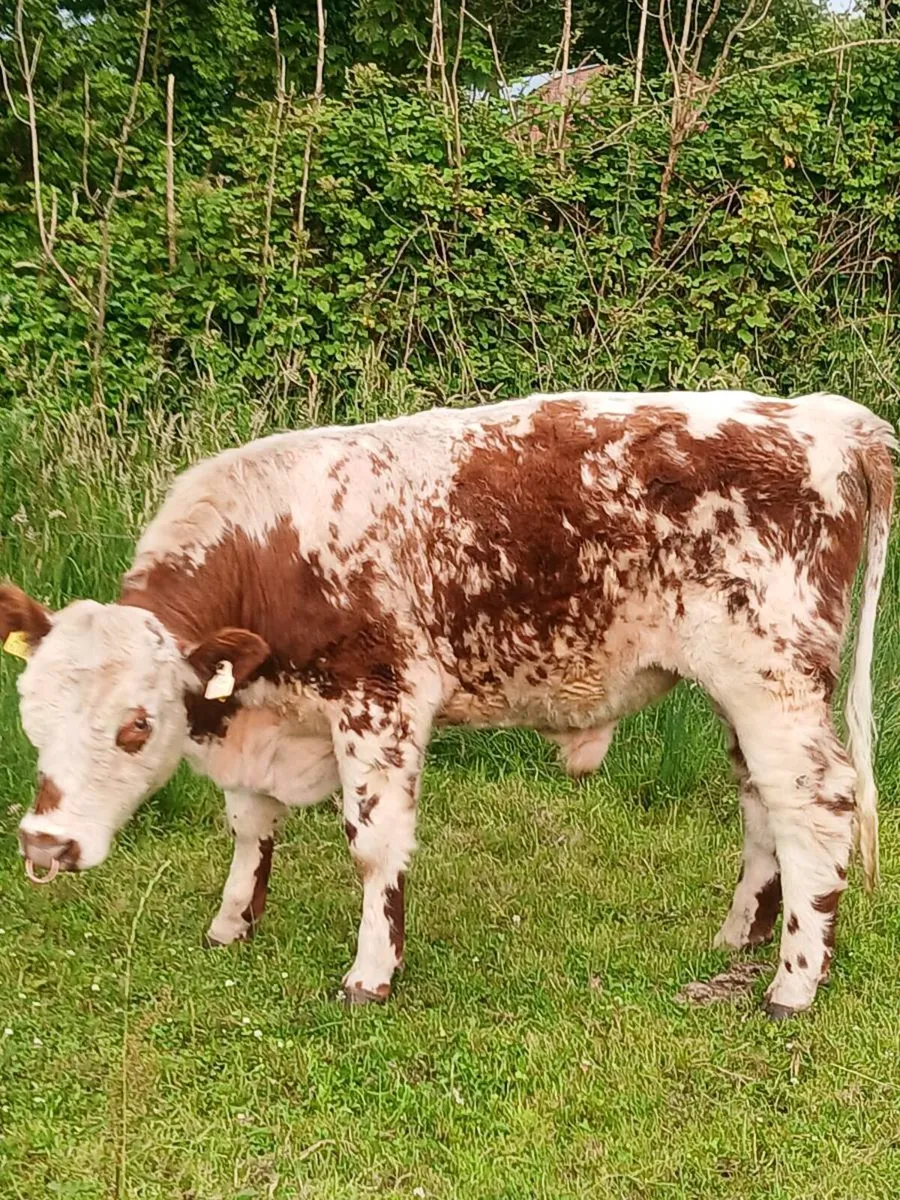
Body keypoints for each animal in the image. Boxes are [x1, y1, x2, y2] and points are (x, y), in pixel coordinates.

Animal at [1, 390, 894, 1018]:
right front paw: (231, 924)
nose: (45, 844)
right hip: (741, 690)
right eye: (31, 716)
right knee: (761, 800)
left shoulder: (379, 698)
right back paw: (741, 935)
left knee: (815, 804)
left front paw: (370, 973)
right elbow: (251, 824)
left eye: (135, 726)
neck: (275, 546)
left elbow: (373, 846)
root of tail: (825, 416)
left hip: (775, 679)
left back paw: (792, 984)